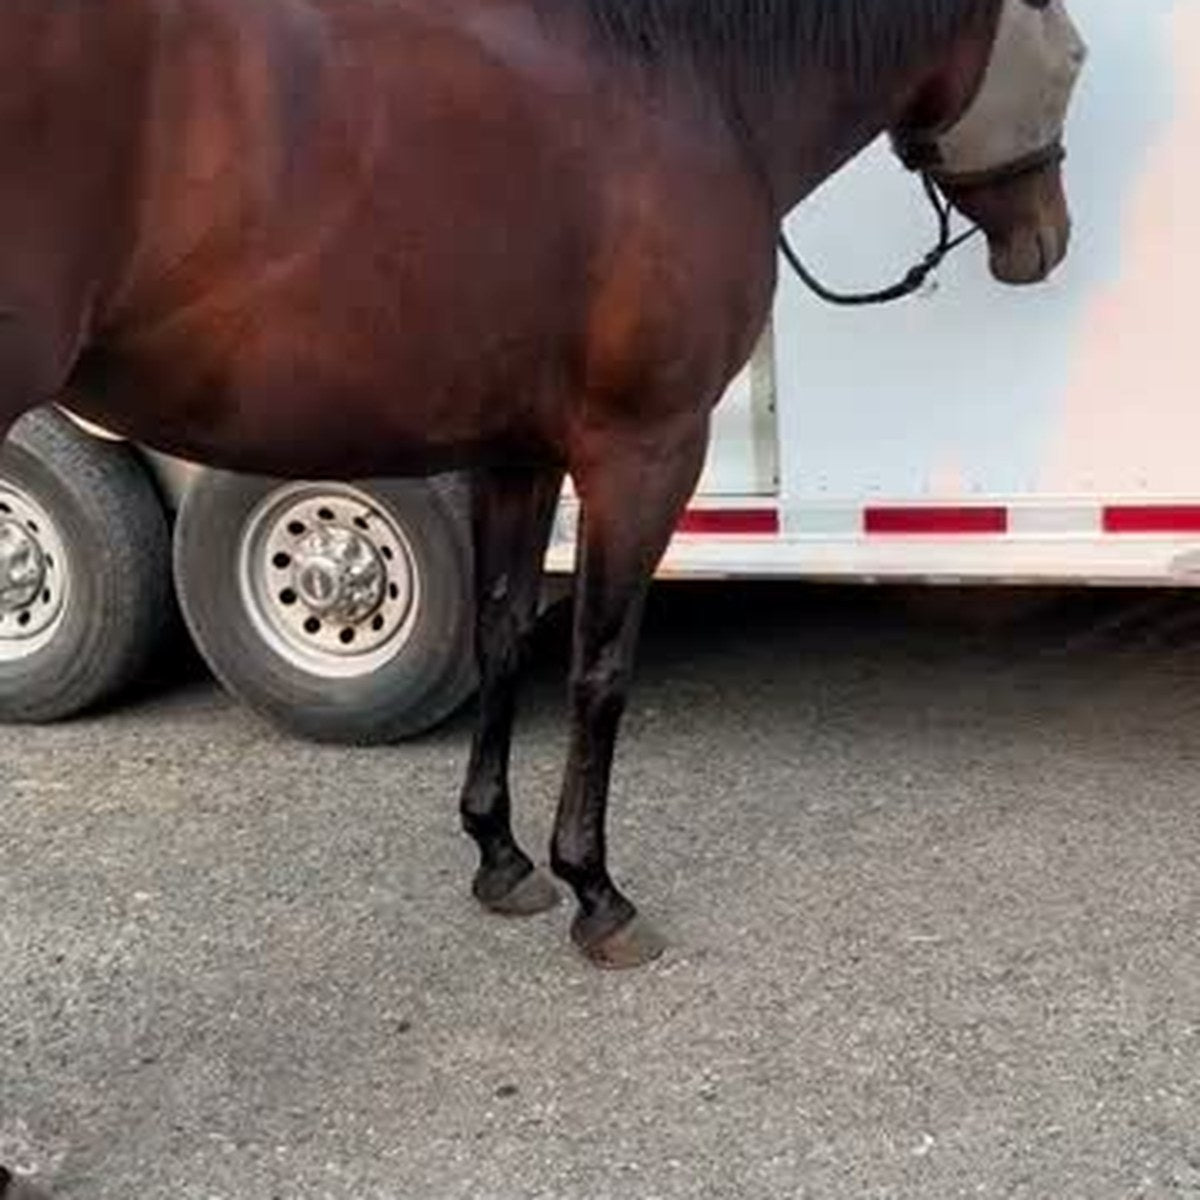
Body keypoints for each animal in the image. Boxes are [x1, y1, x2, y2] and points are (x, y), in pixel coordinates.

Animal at [0, 0, 1087, 968]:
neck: (694, 86)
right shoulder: (643, 452)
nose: (1047, 239)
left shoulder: (514, 453)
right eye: (1073, 55)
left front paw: (501, 857)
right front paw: (595, 891)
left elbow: (503, 633)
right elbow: (600, 668)